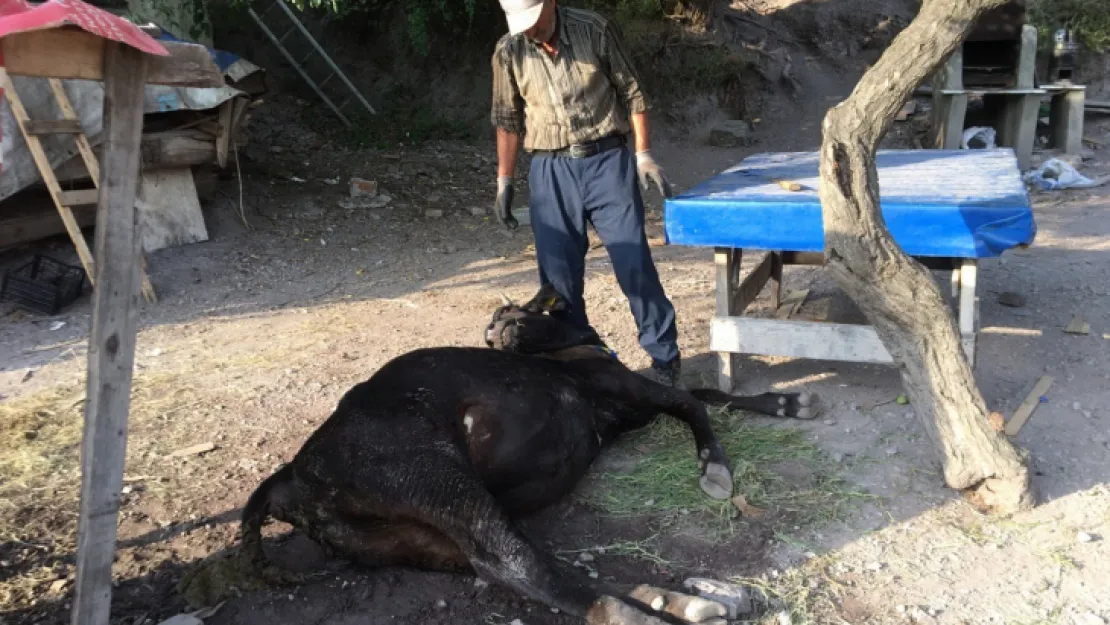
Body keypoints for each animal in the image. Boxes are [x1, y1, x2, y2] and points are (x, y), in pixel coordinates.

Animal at [206, 286, 816, 621]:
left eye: (510, 315)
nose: (492, 333)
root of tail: (290, 475)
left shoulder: (634, 400)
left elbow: (709, 393)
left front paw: (785, 402)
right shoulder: (633, 390)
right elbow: (695, 402)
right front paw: (715, 468)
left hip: (422, 538)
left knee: (515, 567)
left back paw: (677, 602)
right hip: (441, 483)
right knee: (538, 571)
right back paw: (654, 614)